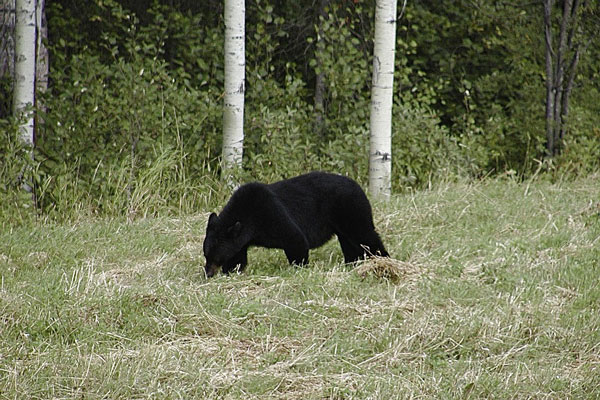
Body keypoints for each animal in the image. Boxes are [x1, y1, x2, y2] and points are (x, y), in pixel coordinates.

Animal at [203, 172, 390, 278]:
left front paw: (300, 267)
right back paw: (352, 262)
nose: (208, 273)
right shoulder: (241, 238)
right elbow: (237, 255)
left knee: (365, 235)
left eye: (216, 257)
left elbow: (295, 238)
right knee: (349, 242)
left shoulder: (271, 213)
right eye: (206, 255)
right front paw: (231, 271)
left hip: (350, 209)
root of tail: (360, 188)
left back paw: (383, 260)